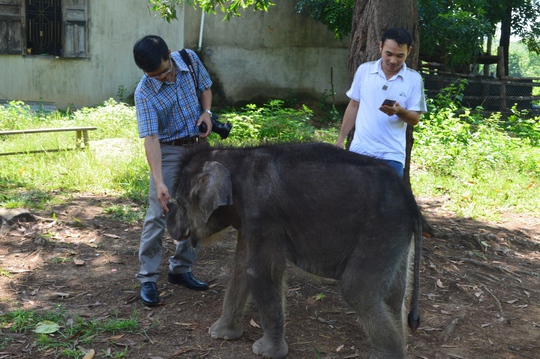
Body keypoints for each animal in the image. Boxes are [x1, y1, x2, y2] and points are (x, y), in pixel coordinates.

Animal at [166, 143, 422, 359]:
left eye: (181, 203)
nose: (167, 203)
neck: (235, 156)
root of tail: (414, 206)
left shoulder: (263, 214)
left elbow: (261, 271)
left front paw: (265, 352)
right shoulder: (251, 220)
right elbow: (241, 268)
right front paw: (220, 334)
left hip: (381, 229)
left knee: (359, 290)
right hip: (395, 237)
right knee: (393, 294)